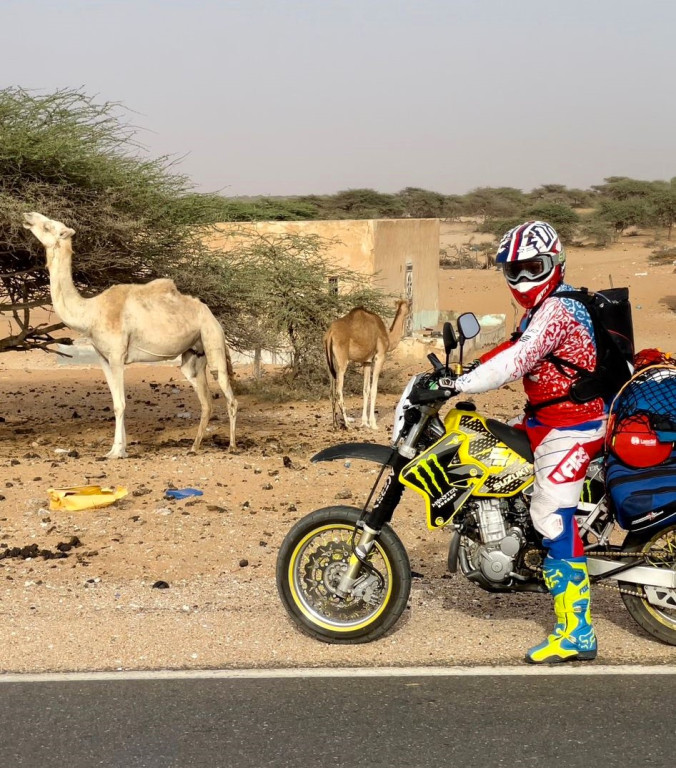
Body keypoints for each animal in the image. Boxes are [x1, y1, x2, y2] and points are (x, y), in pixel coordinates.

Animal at [23, 212, 238, 456]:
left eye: (48, 226)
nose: (28, 216)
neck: (90, 313)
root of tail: (212, 315)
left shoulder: (118, 355)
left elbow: (120, 404)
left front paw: (116, 452)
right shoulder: (103, 357)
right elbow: (116, 401)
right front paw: (119, 447)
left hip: (212, 339)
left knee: (229, 394)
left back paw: (231, 446)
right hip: (194, 354)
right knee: (205, 400)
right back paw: (193, 447)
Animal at [324, 300, 410, 432]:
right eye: (409, 305)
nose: (410, 312)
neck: (388, 337)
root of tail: (330, 334)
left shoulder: (367, 362)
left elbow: (365, 390)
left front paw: (364, 423)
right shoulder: (380, 356)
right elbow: (374, 389)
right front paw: (373, 424)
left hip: (329, 363)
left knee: (331, 391)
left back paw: (335, 425)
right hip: (342, 362)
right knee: (339, 391)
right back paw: (347, 425)